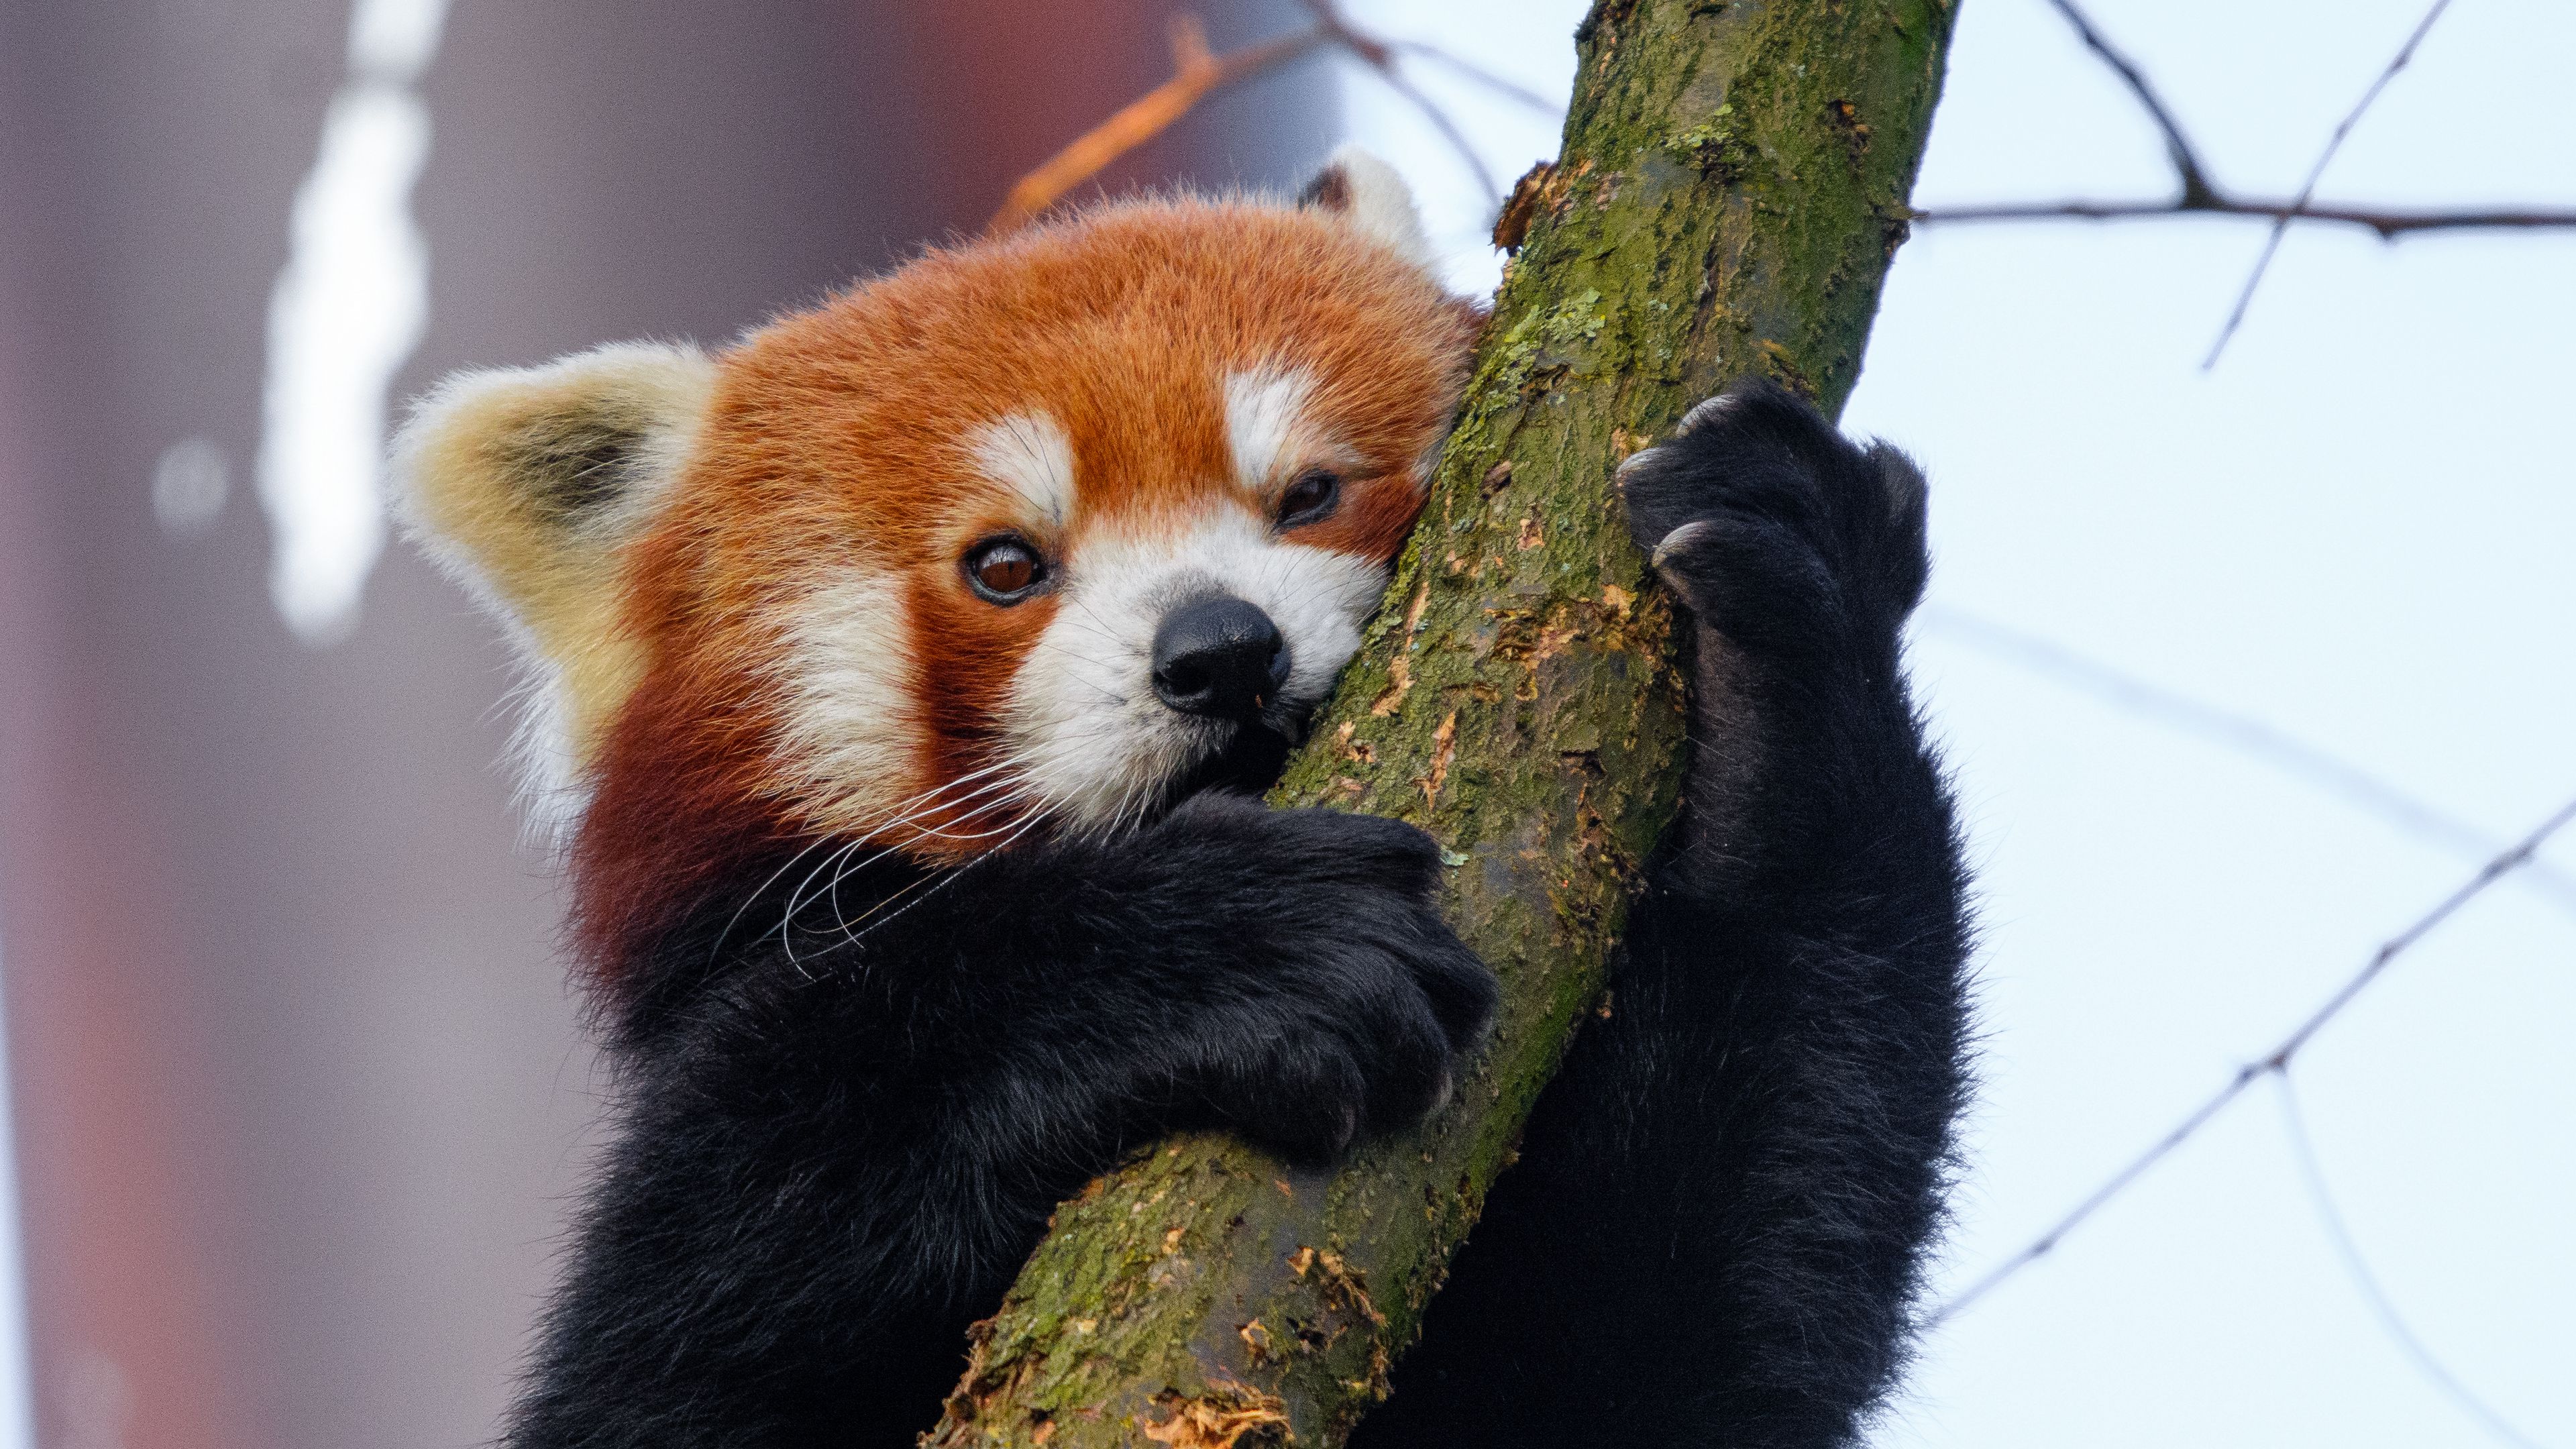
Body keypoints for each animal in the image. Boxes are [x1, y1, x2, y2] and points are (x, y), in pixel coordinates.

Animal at [395, 149, 1970, 1449]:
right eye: (1006, 565)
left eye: (1310, 493)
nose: (1221, 653)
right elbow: (686, 1335)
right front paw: (1200, 954)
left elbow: (1661, 1353)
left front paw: (1784, 685)